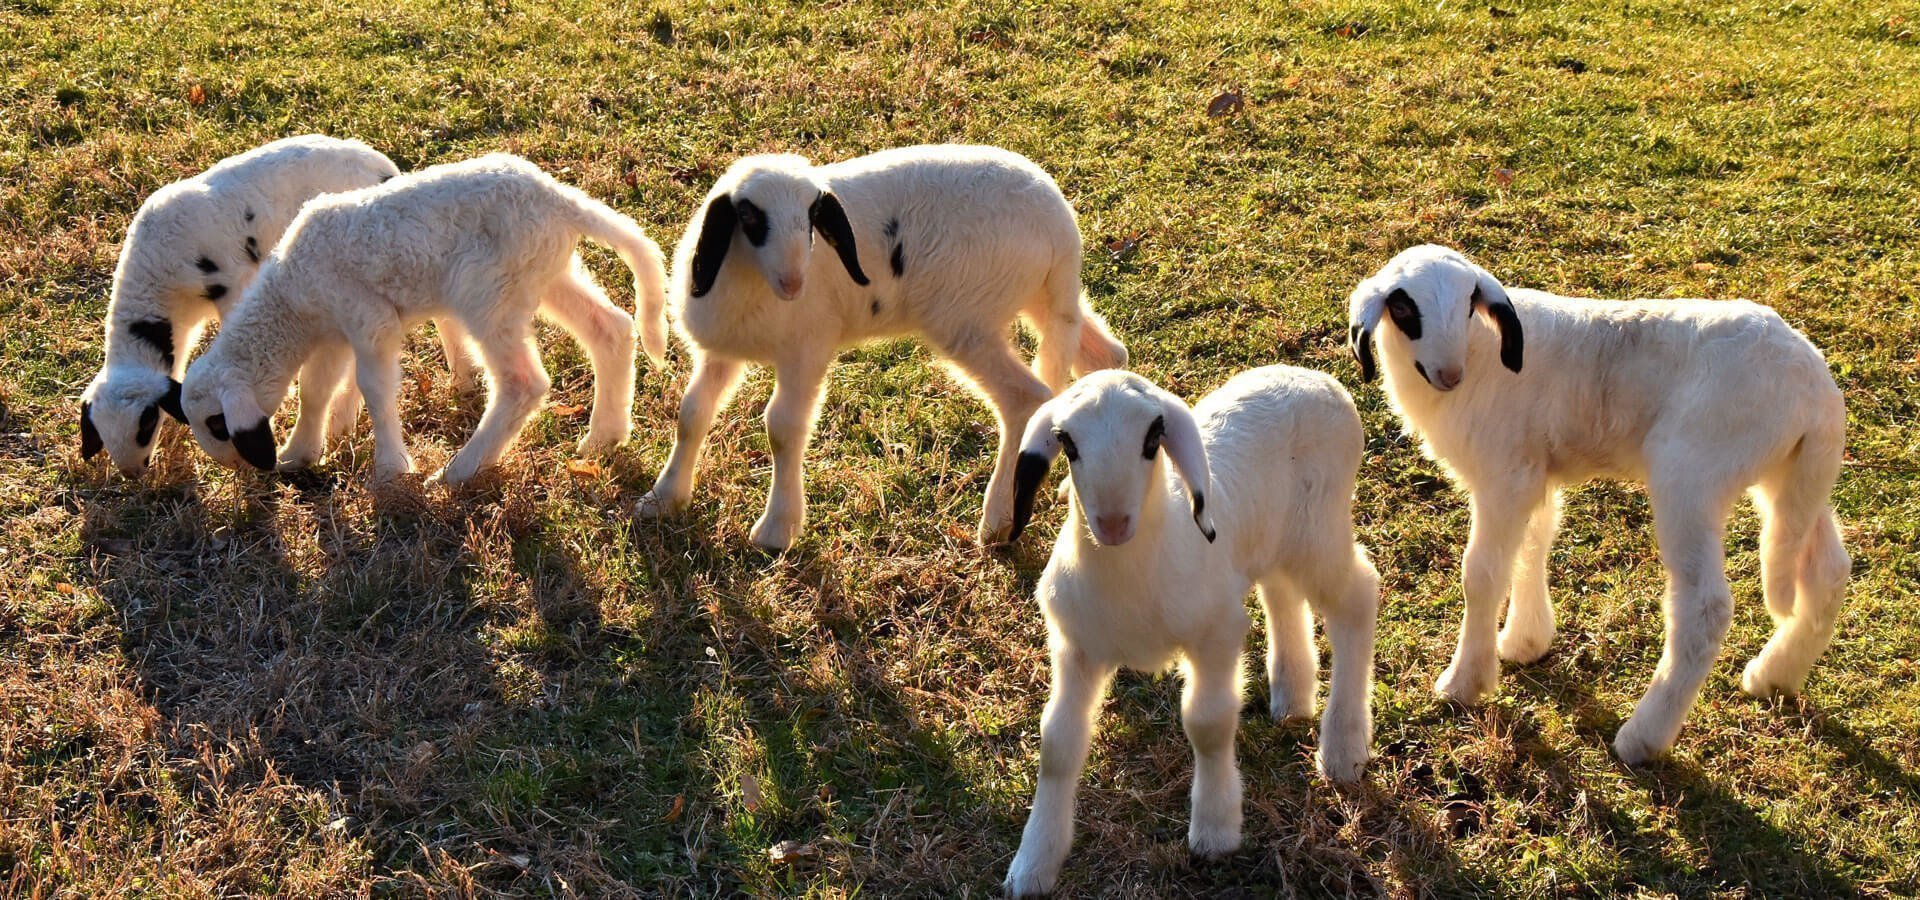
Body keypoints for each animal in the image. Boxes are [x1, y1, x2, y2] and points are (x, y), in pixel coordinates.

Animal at [180, 150, 672, 479]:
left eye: (217, 425)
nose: (239, 469)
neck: (291, 294)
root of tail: (561, 200)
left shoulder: (368, 319)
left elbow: (375, 389)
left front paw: (390, 468)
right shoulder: (337, 330)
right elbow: (316, 389)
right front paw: (304, 450)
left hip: (487, 293)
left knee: (523, 383)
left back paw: (460, 471)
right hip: (546, 271)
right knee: (611, 330)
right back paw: (604, 438)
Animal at [637, 144, 1128, 552]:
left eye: (814, 216)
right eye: (749, 217)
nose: (794, 283)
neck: (750, 279)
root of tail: (1060, 227)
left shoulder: (806, 351)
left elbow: (782, 428)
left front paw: (777, 531)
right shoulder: (720, 353)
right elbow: (692, 413)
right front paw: (662, 499)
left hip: (966, 320)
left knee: (1026, 399)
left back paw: (996, 522)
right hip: (1043, 299)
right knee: (1107, 355)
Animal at [998, 364, 1390, 890]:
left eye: (1153, 438)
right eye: (1067, 442)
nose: (1113, 524)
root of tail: (1313, 378)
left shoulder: (1215, 634)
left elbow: (1207, 723)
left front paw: (1215, 830)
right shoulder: (1075, 646)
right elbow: (1058, 744)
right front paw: (1033, 864)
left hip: (1319, 531)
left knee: (1357, 598)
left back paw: (1344, 747)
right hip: (1269, 539)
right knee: (1281, 592)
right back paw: (1292, 699)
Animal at [1344, 241, 1850, 759]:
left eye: (1469, 304)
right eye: (1403, 308)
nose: (1449, 375)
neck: (1481, 354)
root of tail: (1816, 391)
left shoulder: (1503, 475)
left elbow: (1481, 574)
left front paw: (1465, 682)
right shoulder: (1530, 471)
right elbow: (1531, 546)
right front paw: (1525, 642)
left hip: (1692, 474)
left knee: (1705, 609)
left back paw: (1642, 738)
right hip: (1791, 477)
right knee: (1828, 572)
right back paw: (1775, 676)